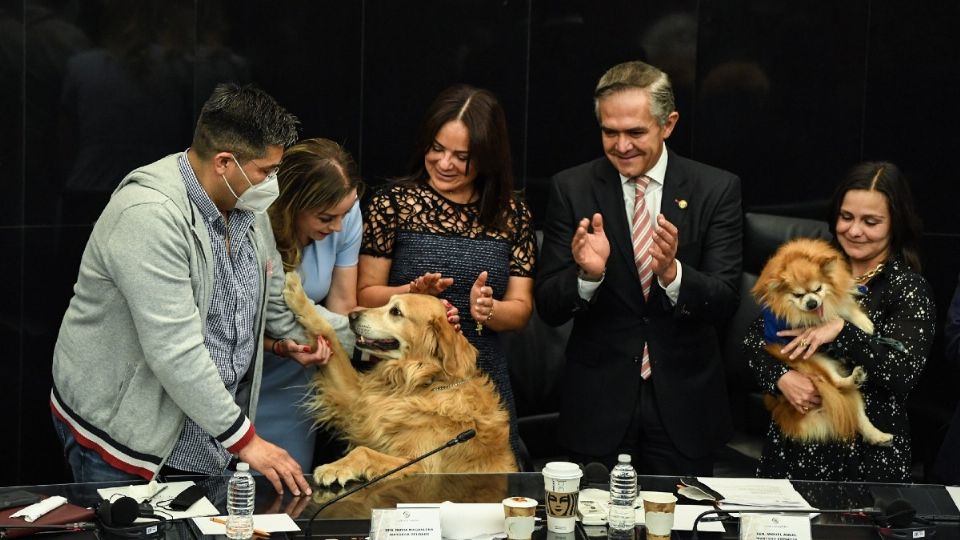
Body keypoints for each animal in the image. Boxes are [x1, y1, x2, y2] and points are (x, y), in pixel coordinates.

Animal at [752, 238, 892, 446]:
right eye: (798, 295)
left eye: (817, 289)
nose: (812, 303)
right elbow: (831, 317)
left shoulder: (838, 295)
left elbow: (845, 308)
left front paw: (864, 323)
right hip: (816, 362)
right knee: (836, 383)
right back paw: (854, 378)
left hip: (849, 398)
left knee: (857, 416)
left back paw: (879, 436)